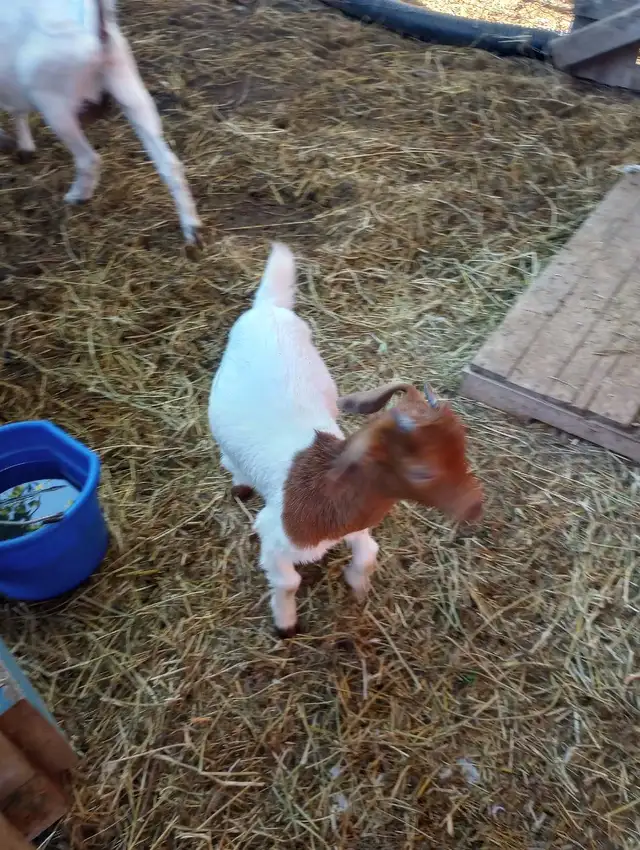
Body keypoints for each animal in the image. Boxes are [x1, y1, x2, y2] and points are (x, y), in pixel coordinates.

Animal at [0, 0, 201, 244]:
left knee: (89, 159)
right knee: (169, 163)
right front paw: (23, 146)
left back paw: (76, 197)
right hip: (128, 86)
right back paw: (192, 231)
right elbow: (17, 110)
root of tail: (95, 23)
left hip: (53, 101)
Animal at [208, 243, 484, 637]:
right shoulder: (273, 535)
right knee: (227, 455)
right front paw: (286, 623)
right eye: (421, 472)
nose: (476, 507)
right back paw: (240, 481)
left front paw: (358, 586)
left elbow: (369, 554)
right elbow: (287, 581)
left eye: (462, 446)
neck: (322, 491)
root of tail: (268, 308)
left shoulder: (359, 526)